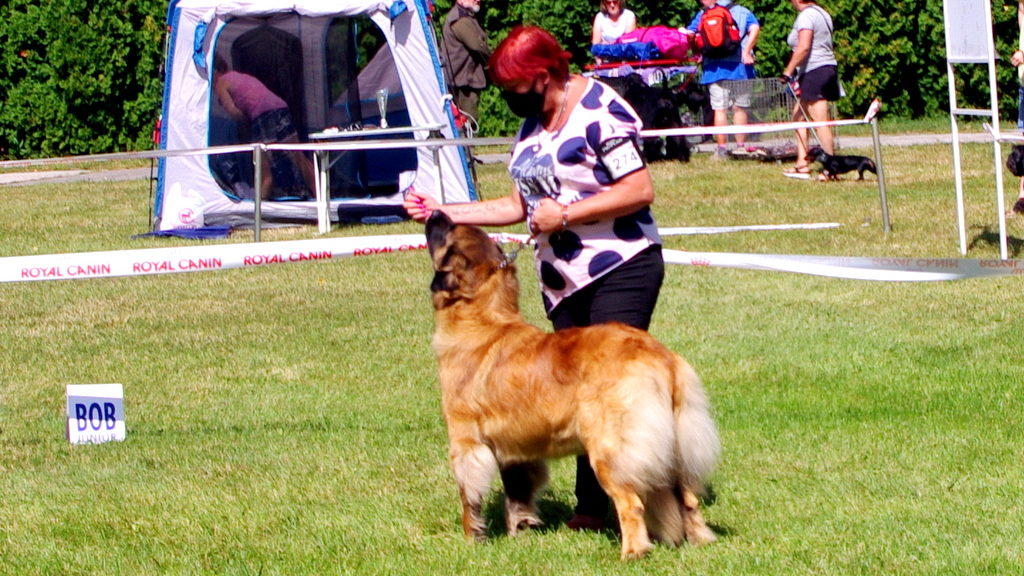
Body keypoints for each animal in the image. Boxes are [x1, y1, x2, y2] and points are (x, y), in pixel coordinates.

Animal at [423, 211, 720, 557]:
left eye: (445, 232)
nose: (435, 213)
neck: (482, 318)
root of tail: (661, 356)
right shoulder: (516, 446)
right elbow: (518, 492)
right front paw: (520, 532)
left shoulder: (466, 441)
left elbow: (469, 496)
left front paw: (473, 539)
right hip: (675, 447)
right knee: (688, 499)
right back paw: (700, 541)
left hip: (610, 449)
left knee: (631, 503)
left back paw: (633, 553)